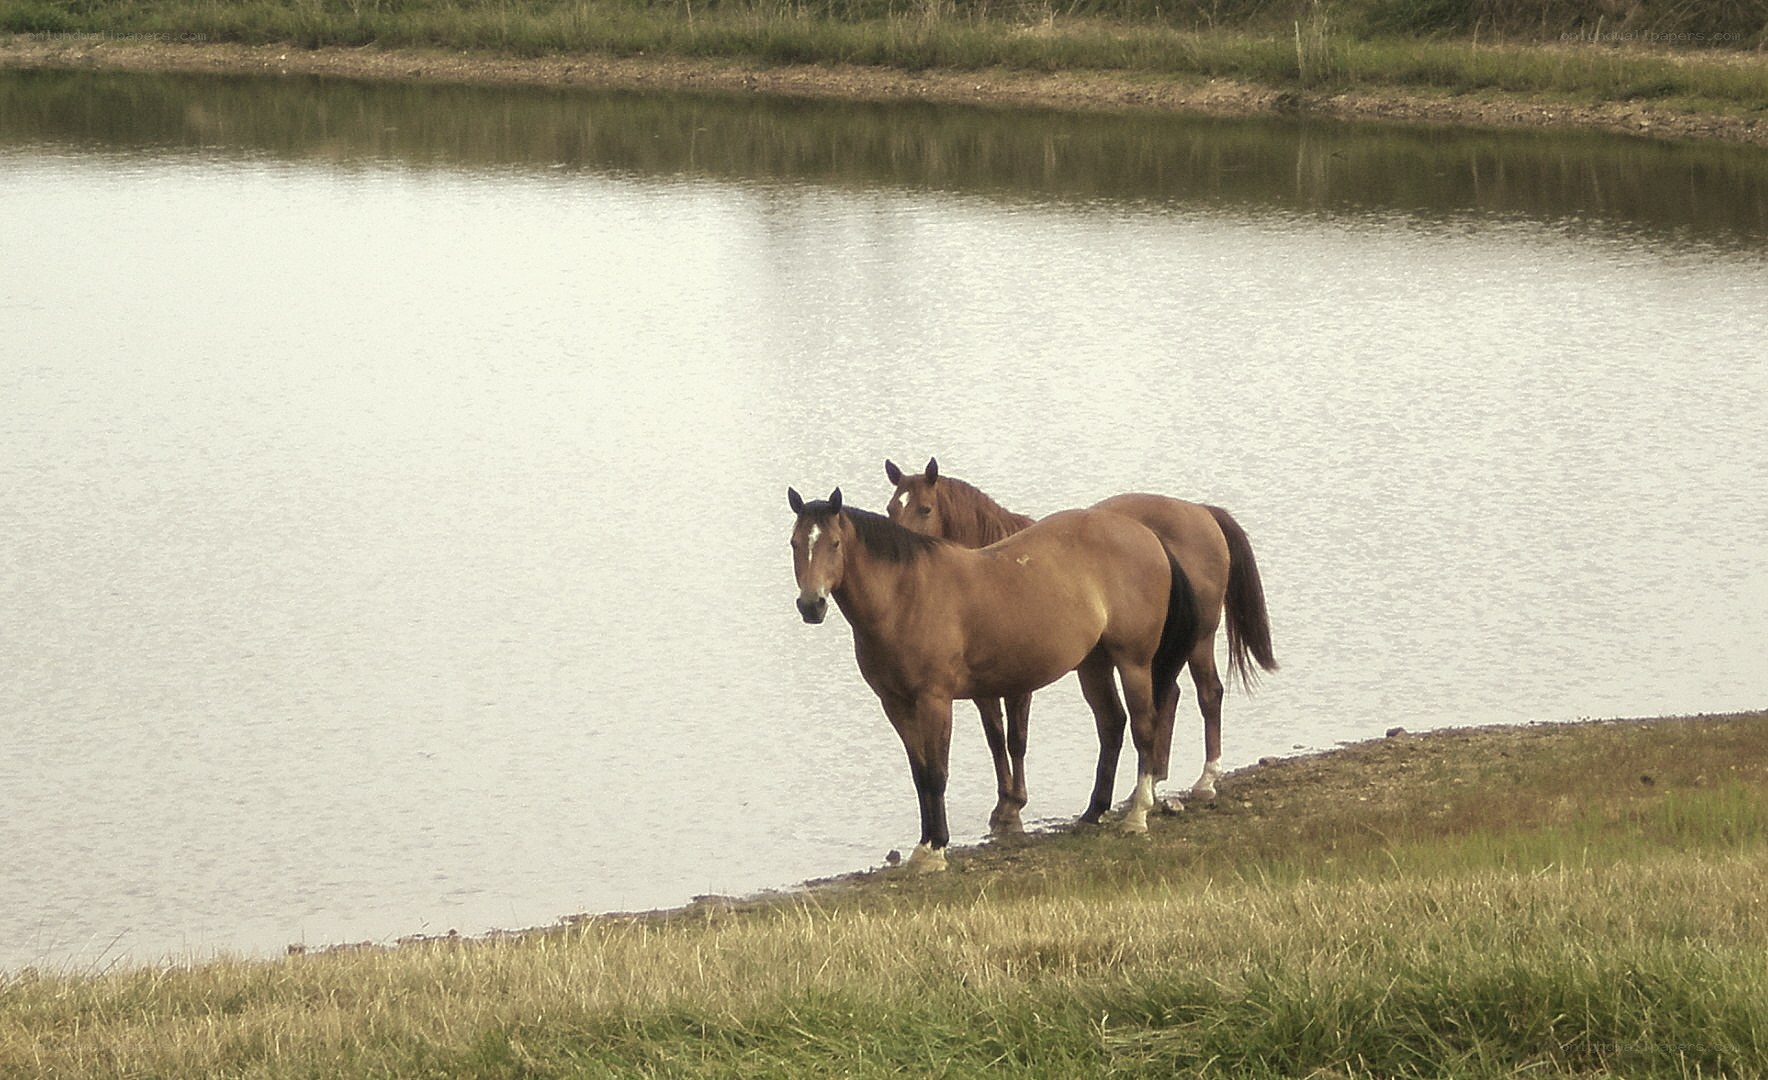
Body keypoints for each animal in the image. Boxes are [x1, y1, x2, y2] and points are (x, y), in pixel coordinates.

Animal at [787, 486, 1197, 871]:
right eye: (794, 543)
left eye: (834, 543)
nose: (811, 605)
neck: (905, 596)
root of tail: (1146, 535)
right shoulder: (895, 704)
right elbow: (920, 774)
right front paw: (923, 846)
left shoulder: (935, 700)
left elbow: (937, 773)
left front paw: (936, 849)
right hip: (1093, 664)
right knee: (1111, 724)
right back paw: (1092, 812)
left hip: (1133, 662)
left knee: (1144, 727)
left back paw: (1136, 815)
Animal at [885, 457, 1277, 812]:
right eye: (891, 508)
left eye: (925, 508)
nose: (900, 553)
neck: (992, 569)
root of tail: (1201, 512)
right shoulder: (983, 686)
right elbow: (995, 737)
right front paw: (1005, 795)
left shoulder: (1020, 683)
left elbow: (1016, 738)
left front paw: (1016, 799)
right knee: (1168, 696)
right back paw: (1150, 782)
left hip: (1198, 638)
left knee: (1208, 694)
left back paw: (1206, 779)